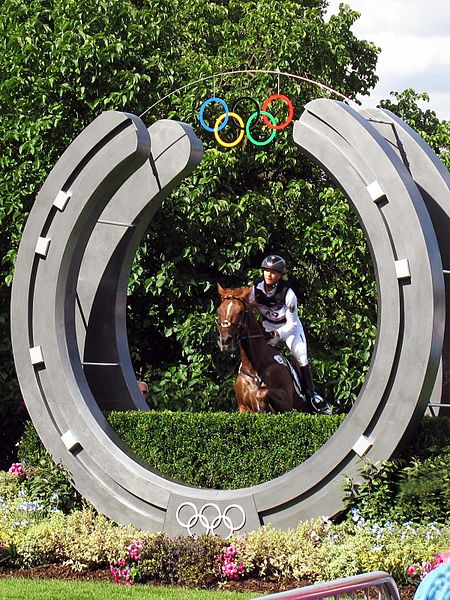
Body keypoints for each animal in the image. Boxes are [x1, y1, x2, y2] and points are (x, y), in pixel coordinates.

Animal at [217, 282, 310, 412]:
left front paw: (262, 407)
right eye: (218, 311)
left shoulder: (287, 404)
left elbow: (262, 392)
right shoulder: (243, 408)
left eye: (240, 311)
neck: (254, 367)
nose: (225, 341)